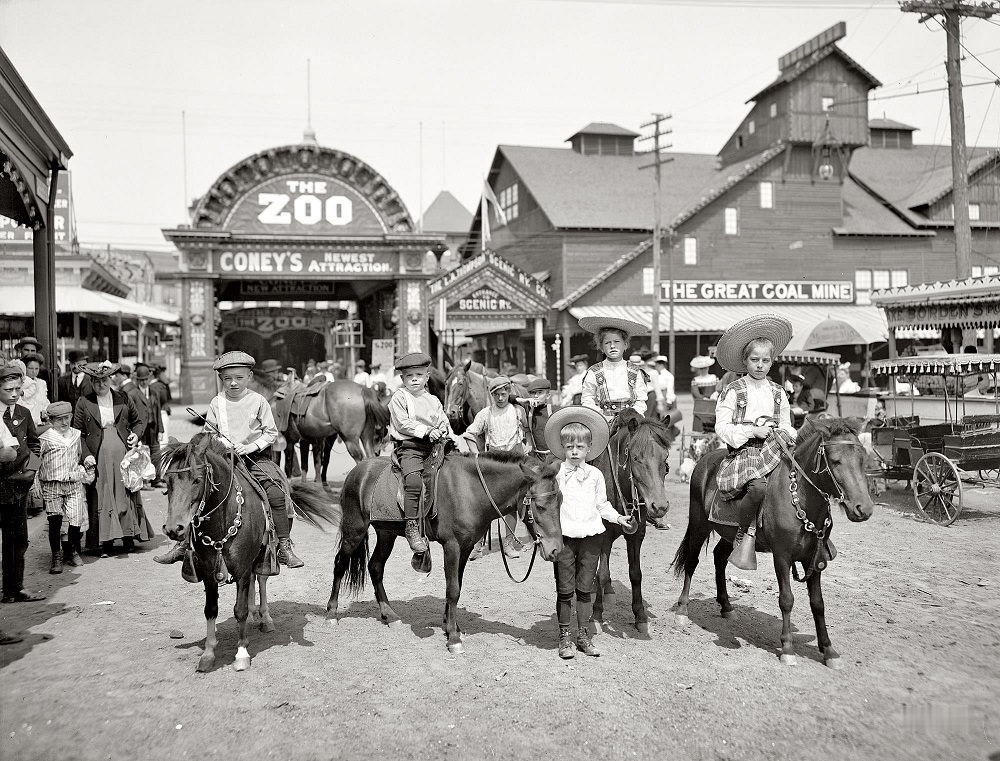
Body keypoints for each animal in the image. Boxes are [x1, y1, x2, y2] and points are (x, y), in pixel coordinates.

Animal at [160, 434, 340, 672]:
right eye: (167, 483)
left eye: (197, 480)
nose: (174, 529)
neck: (223, 519)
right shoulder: (208, 571)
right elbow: (211, 609)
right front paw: (208, 653)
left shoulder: (242, 568)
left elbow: (240, 610)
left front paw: (242, 653)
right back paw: (256, 614)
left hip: (266, 552)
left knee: (261, 579)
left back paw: (265, 618)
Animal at [326, 452, 564, 652]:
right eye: (540, 506)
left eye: (560, 501)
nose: (556, 549)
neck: (470, 489)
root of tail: (358, 470)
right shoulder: (452, 546)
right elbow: (453, 590)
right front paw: (453, 639)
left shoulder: (465, 548)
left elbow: (457, 585)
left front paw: (453, 627)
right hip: (354, 531)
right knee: (339, 564)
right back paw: (331, 613)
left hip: (386, 533)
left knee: (375, 567)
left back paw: (390, 615)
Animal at [588, 410, 676, 636]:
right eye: (636, 458)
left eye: (665, 458)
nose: (659, 506)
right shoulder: (603, 535)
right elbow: (601, 573)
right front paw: (596, 615)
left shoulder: (637, 534)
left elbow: (636, 574)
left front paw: (640, 616)